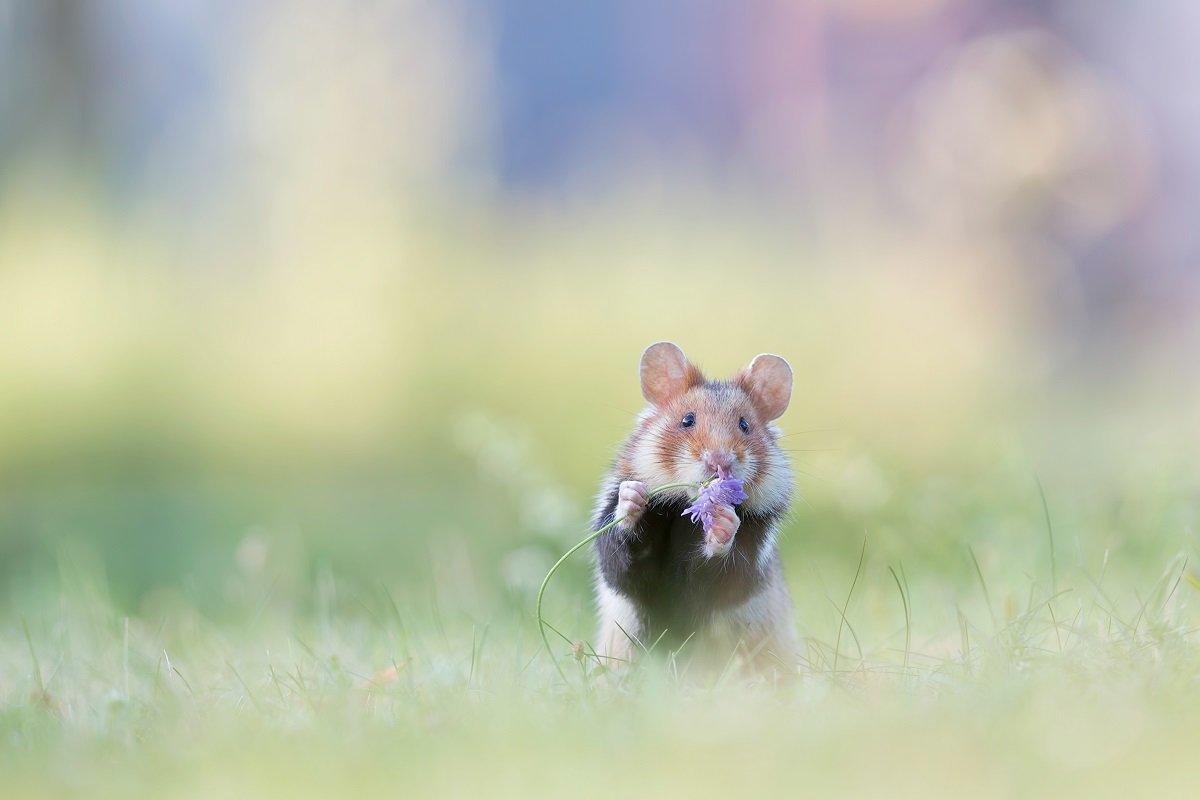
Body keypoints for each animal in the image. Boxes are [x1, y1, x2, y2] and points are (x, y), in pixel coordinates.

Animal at [590, 340, 796, 681]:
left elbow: (716, 571)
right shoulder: (623, 568)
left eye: (745, 425)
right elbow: (624, 559)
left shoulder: (749, 554)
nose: (719, 462)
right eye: (687, 420)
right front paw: (633, 496)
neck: (682, 511)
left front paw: (723, 522)